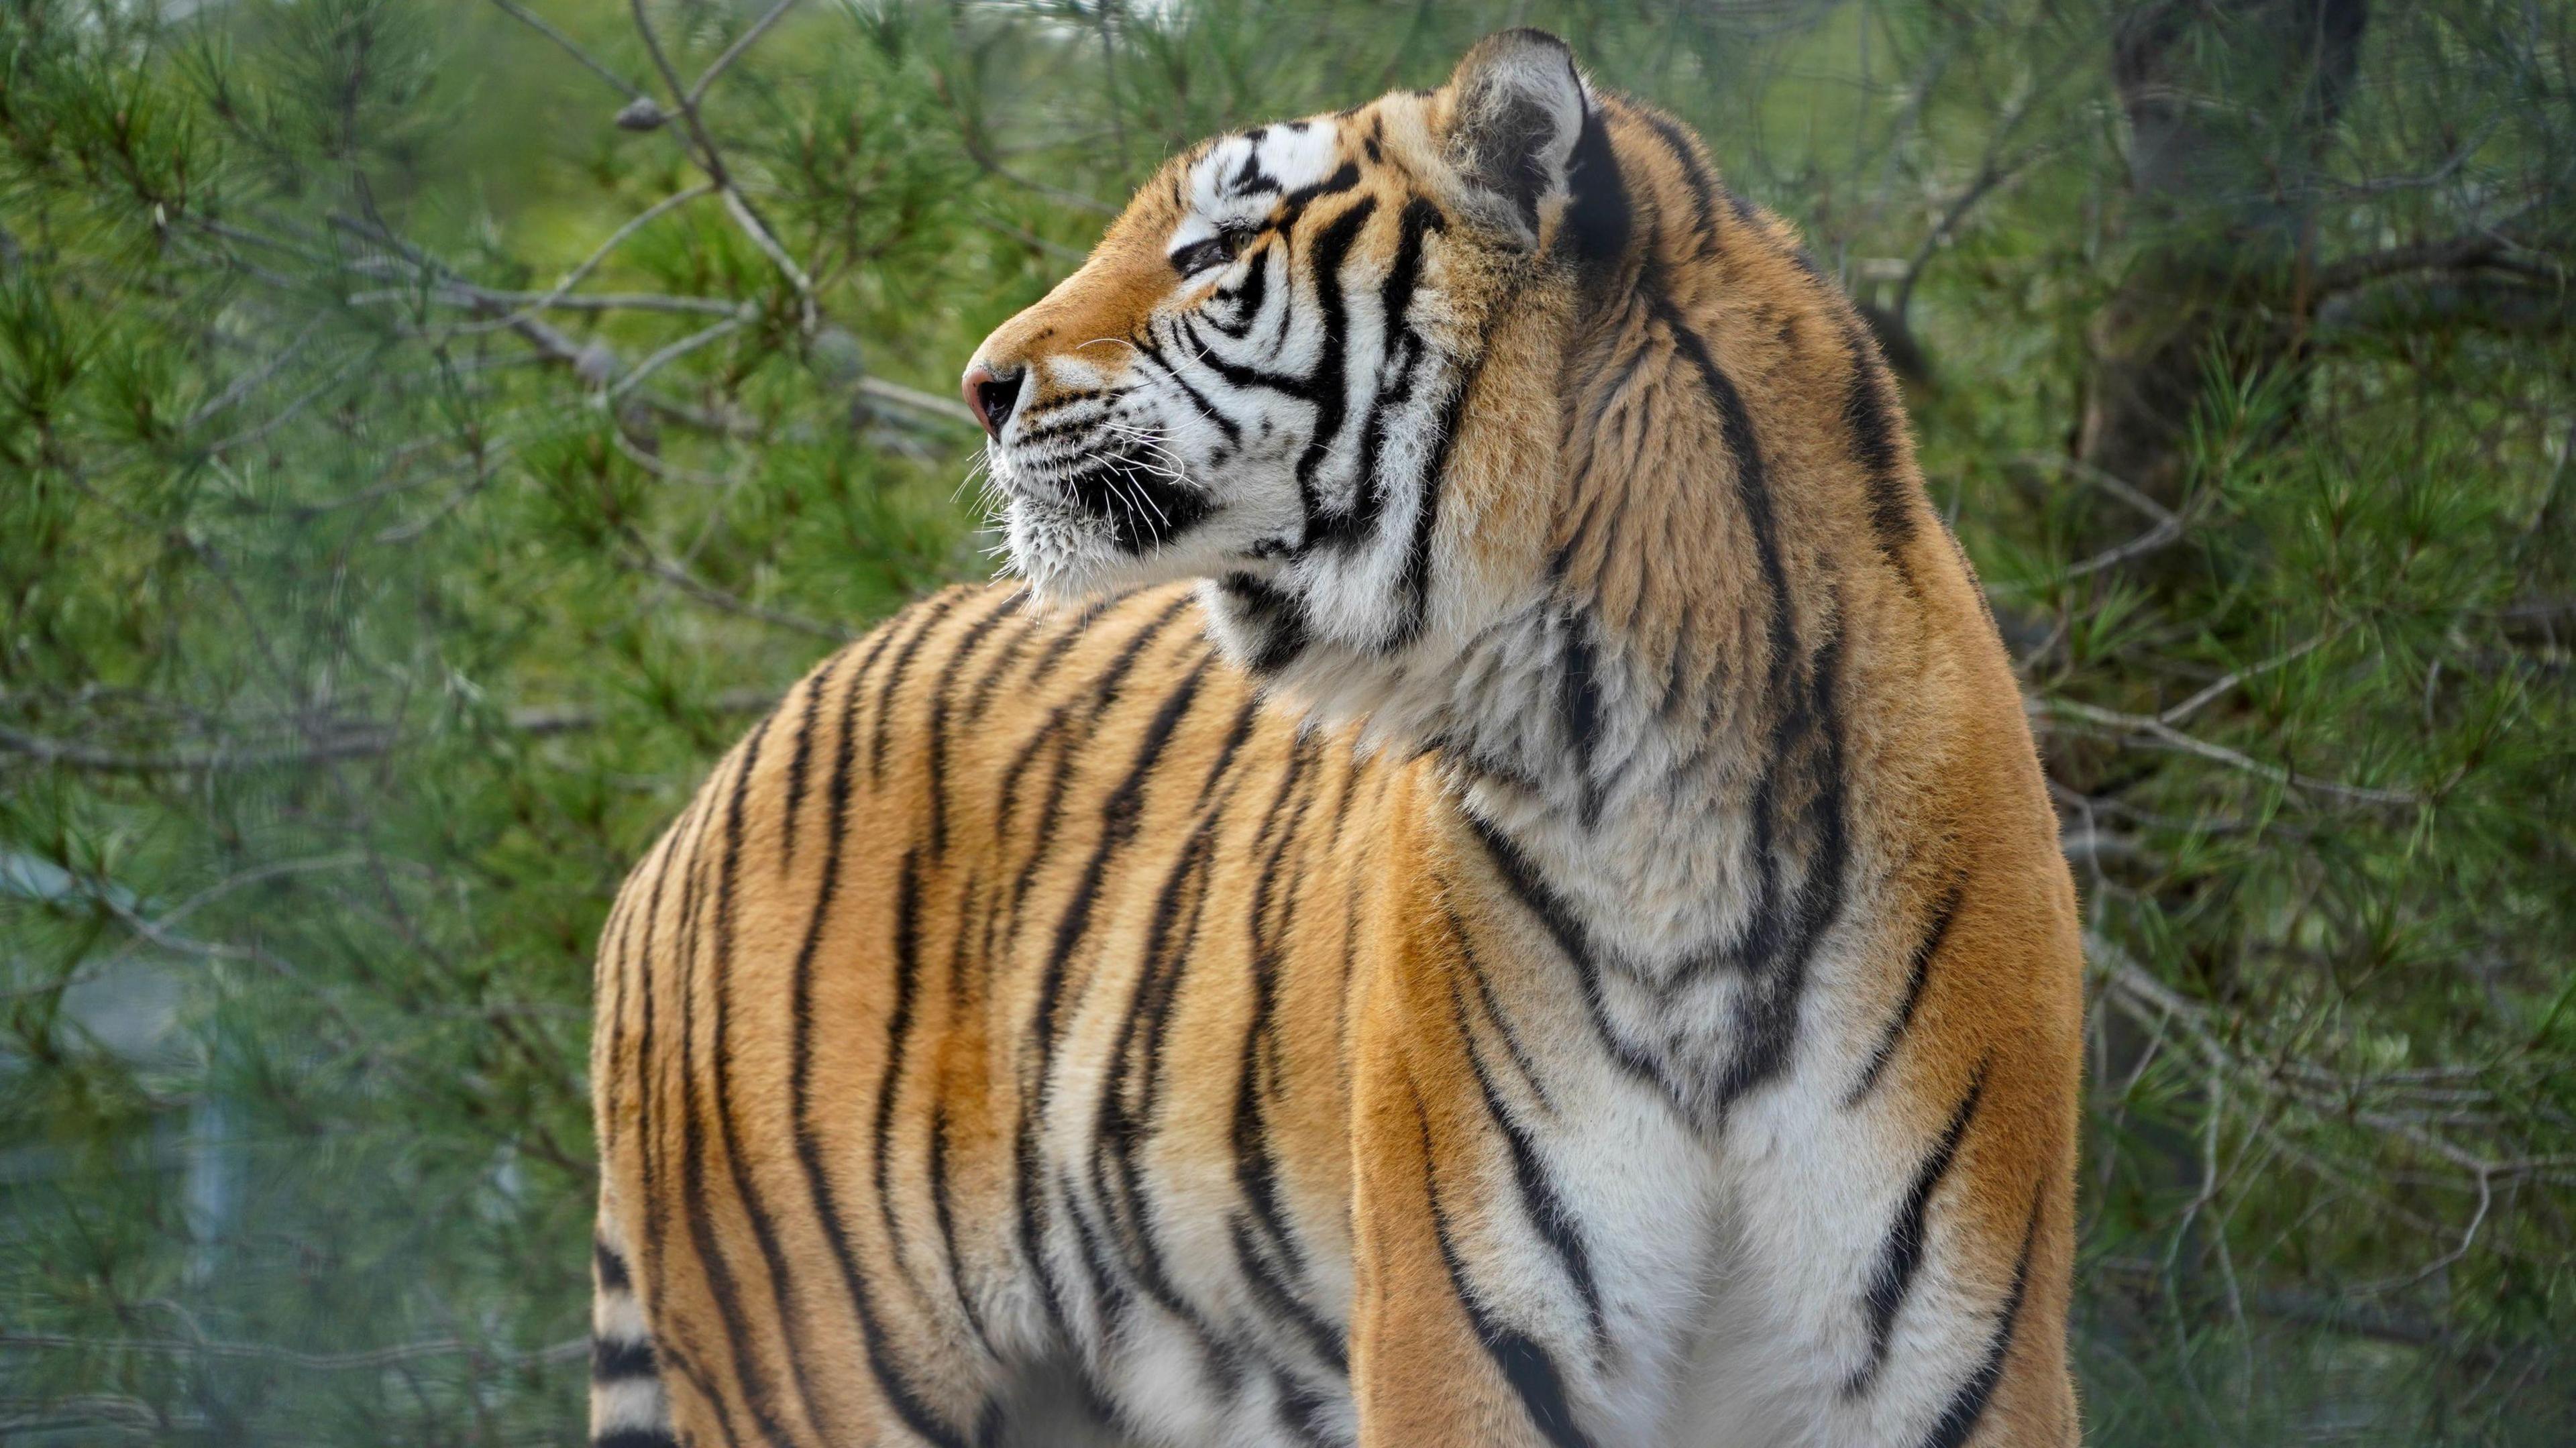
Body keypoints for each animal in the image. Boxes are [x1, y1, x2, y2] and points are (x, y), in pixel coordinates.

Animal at [587, 28, 2084, 1448]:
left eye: (1207, 252)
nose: (979, 384)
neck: (1643, 784)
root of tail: (698, 803)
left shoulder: (1958, 1354)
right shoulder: (1468, 1327)